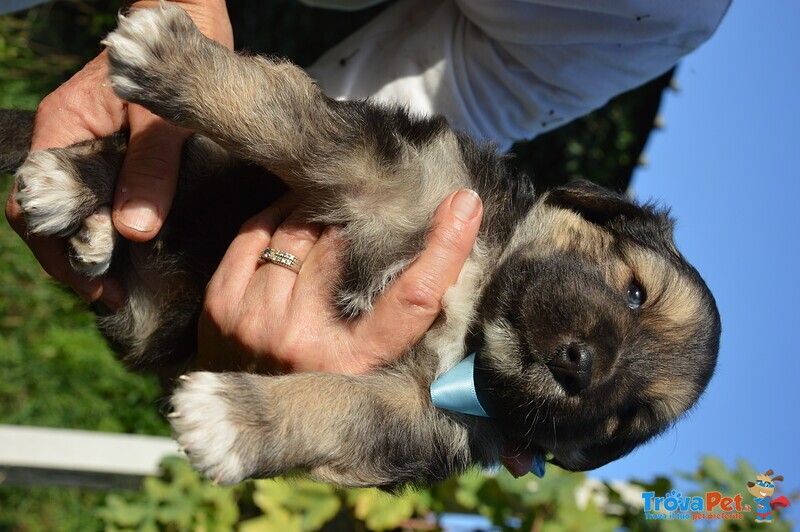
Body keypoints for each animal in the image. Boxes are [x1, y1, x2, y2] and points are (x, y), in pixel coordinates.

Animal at [4, 6, 720, 490]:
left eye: (627, 417)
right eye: (635, 291)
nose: (579, 366)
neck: (475, 304)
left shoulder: (423, 419)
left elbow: (345, 411)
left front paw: (235, 420)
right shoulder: (393, 173)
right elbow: (285, 122)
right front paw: (170, 60)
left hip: (145, 316)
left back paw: (91, 228)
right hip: (207, 172)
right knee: (153, 159)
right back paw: (73, 184)